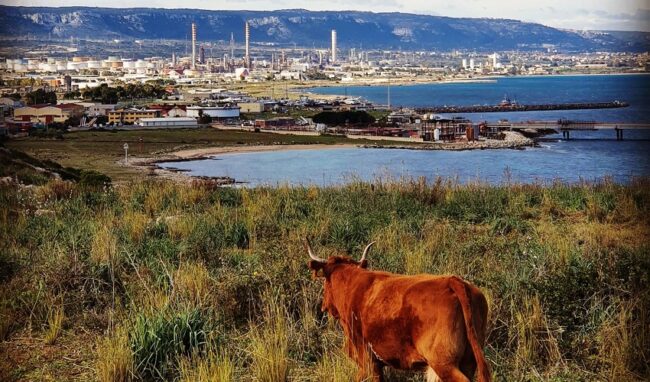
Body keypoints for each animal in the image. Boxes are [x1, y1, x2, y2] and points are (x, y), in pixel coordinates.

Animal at [306, 240, 488, 380]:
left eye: (325, 281)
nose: (323, 305)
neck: (352, 285)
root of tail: (453, 281)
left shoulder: (367, 360)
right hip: (468, 361)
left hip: (443, 363)